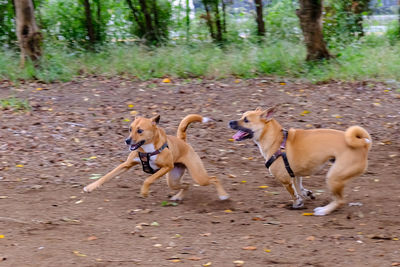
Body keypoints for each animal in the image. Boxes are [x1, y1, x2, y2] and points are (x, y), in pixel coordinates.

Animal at [84, 114, 228, 202]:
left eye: (140, 130)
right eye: (130, 129)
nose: (127, 141)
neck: (147, 149)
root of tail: (183, 141)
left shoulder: (166, 167)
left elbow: (148, 179)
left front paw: (144, 192)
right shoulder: (126, 164)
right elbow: (107, 176)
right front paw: (91, 186)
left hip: (198, 176)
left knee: (214, 178)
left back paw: (223, 195)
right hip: (172, 180)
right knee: (186, 185)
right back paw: (178, 196)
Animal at [228, 107, 372, 216]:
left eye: (246, 120)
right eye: (242, 116)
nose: (230, 122)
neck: (277, 141)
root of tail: (364, 145)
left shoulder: (285, 179)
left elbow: (293, 193)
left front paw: (297, 203)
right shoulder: (295, 174)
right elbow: (299, 187)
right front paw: (306, 194)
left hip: (333, 177)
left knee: (340, 201)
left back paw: (323, 211)